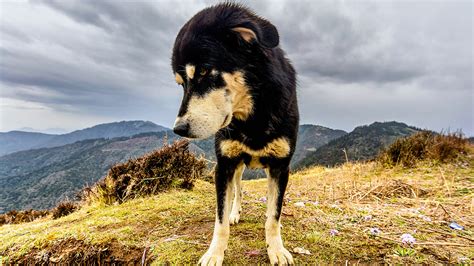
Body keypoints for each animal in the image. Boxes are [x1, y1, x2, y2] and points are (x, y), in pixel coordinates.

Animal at [171, 2, 296, 266]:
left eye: (204, 71)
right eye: (180, 83)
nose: (178, 129)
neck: (252, 117)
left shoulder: (280, 166)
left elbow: (274, 215)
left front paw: (276, 249)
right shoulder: (225, 165)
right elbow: (219, 220)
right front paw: (214, 253)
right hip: (237, 166)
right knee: (238, 188)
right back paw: (235, 212)